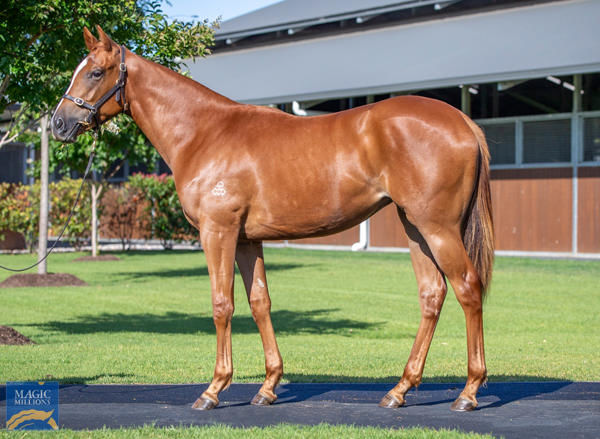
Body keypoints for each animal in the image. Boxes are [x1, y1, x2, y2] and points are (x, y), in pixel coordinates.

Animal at [50, 26, 492, 412]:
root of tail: (462, 121)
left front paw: (213, 389)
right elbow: (259, 302)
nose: (58, 124)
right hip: (415, 228)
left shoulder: (218, 232)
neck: (204, 133)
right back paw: (399, 390)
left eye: (94, 72)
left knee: (468, 289)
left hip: (437, 228)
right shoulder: (247, 239)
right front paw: (267, 387)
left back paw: (468, 392)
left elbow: (222, 304)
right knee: (432, 295)